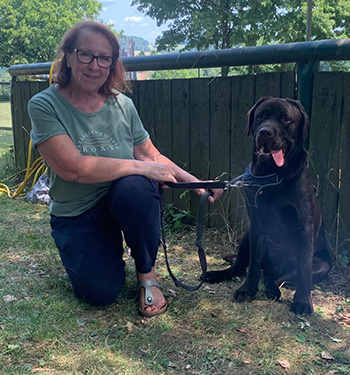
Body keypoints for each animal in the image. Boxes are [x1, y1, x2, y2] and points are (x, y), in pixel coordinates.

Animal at [206, 96, 332, 314]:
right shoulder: (256, 226)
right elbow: (254, 264)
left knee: (278, 276)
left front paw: (303, 301)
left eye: (286, 119)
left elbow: (304, 270)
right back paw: (216, 274)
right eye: (261, 116)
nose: (265, 132)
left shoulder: (304, 229)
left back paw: (273, 289)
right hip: (246, 238)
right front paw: (247, 290)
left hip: (321, 265)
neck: (272, 176)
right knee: (241, 268)